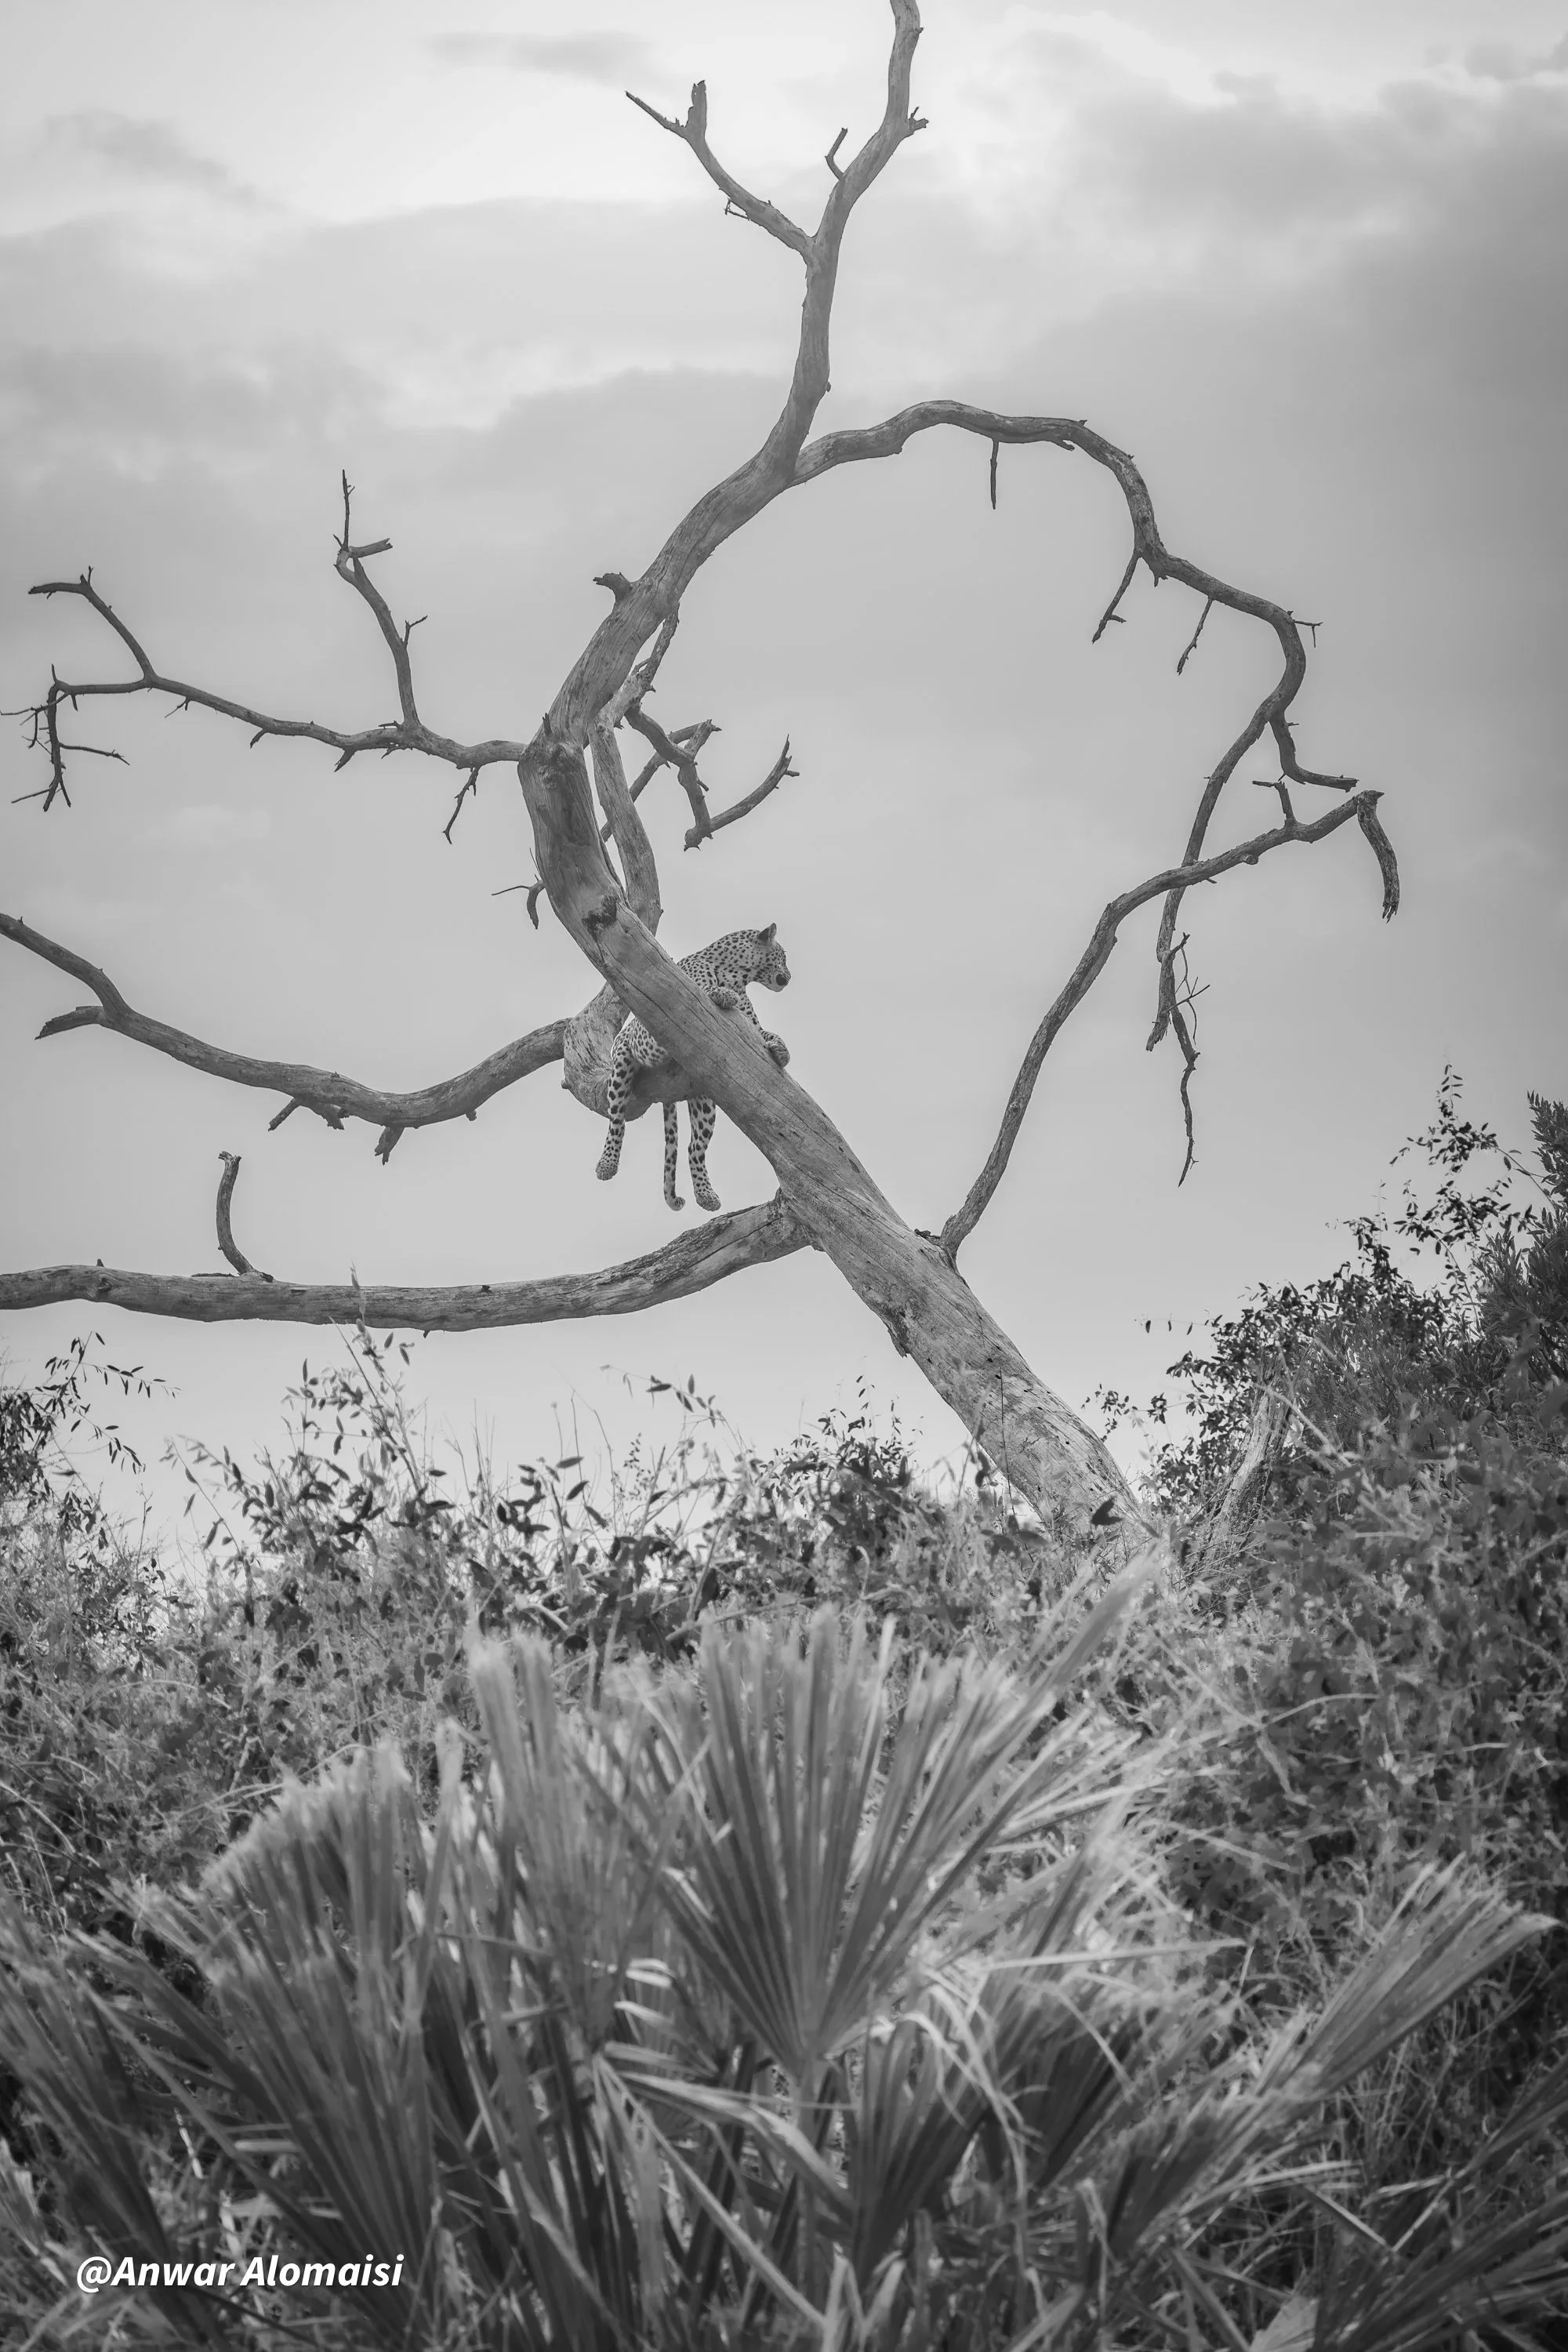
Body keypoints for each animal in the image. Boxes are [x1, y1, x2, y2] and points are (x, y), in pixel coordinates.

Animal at [595, 924, 791, 1213]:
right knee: (616, 1120)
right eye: (783, 956)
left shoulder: (752, 1029)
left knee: (693, 1148)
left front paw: (782, 1051)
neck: (737, 975)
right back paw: (607, 1164)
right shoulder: (669, 1005)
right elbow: (705, 989)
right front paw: (723, 994)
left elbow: (769, 1035)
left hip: (705, 1100)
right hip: (621, 1063)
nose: (790, 976)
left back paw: (706, 1195)